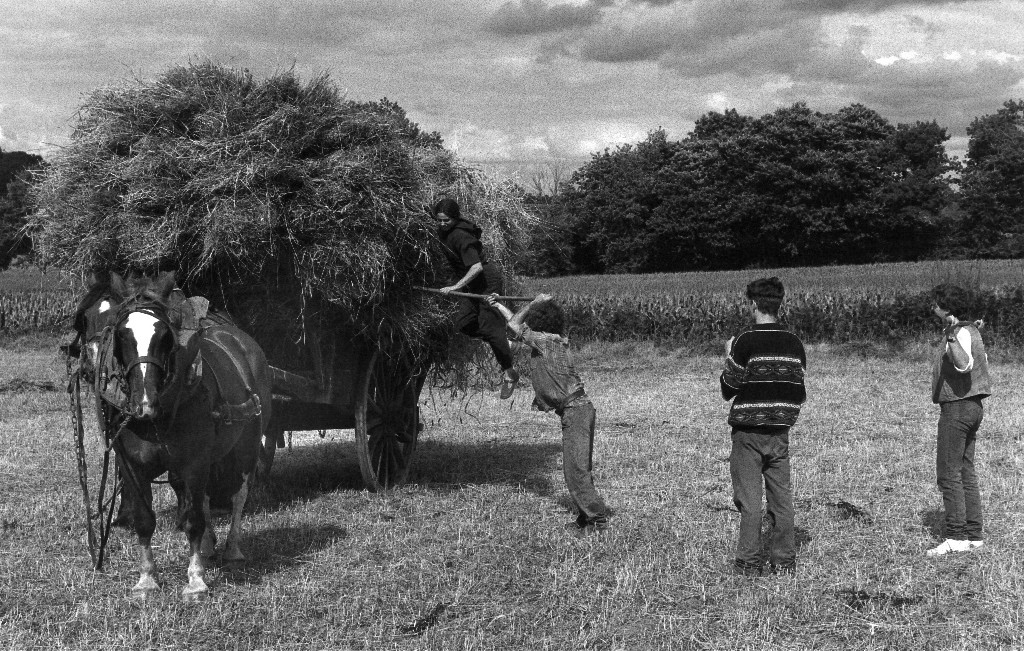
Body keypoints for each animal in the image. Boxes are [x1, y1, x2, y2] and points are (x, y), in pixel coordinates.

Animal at [77, 270, 272, 599]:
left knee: (238, 495)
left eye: (163, 336)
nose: (144, 402)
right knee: (205, 497)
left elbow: (192, 520)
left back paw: (232, 548)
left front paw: (196, 581)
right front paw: (147, 579)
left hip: (246, 446)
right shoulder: (132, 465)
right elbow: (145, 520)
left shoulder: (193, 463)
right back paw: (208, 546)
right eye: (123, 335)